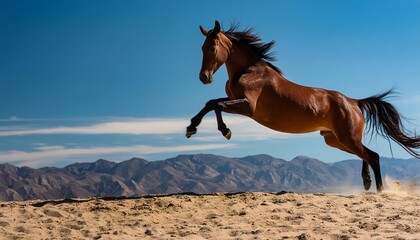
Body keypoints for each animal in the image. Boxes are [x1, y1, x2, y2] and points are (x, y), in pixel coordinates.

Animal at [186, 21, 420, 193]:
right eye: (201, 48)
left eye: (212, 47)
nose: (204, 77)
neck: (249, 71)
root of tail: (354, 102)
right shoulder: (234, 100)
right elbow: (211, 103)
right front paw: (191, 128)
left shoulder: (248, 107)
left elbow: (216, 104)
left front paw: (224, 131)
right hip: (335, 140)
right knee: (366, 154)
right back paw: (367, 182)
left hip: (346, 138)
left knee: (373, 156)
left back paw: (380, 191)